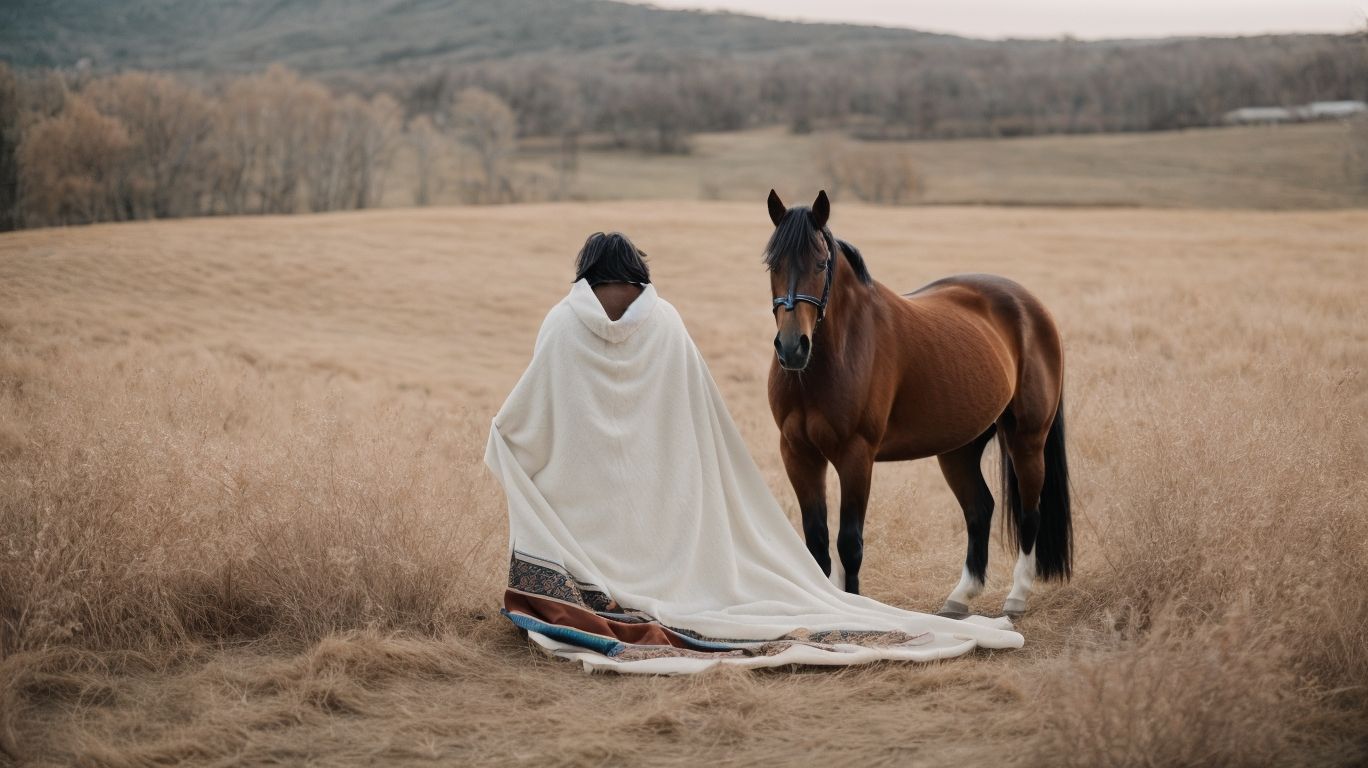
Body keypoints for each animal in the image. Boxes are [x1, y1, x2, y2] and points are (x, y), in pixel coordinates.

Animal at [762, 189, 1071, 618]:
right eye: (772, 264)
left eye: (821, 263)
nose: (792, 348)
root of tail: (1033, 307)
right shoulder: (798, 453)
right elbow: (817, 542)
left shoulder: (856, 455)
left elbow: (849, 543)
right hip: (959, 448)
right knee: (980, 509)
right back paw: (959, 598)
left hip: (1027, 437)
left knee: (1030, 512)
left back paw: (1016, 597)